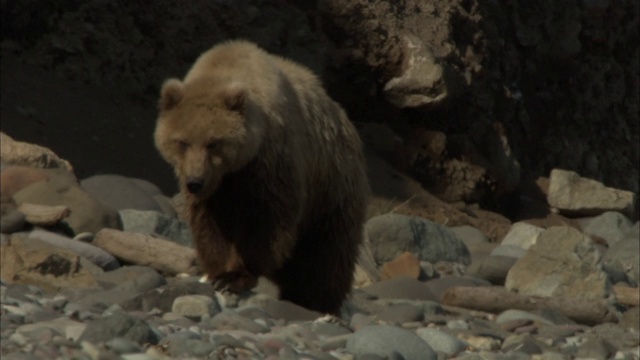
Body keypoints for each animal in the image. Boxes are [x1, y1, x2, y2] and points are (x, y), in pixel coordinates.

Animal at [152, 40, 368, 314]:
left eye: (214, 143)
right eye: (182, 141)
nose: (195, 182)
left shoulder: (270, 164)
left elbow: (267, 223)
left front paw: (234, 276)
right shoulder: (216, 190)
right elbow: (209, 224)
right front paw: (217, 271)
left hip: (332, 190)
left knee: (326, 255)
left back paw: (316, 301)